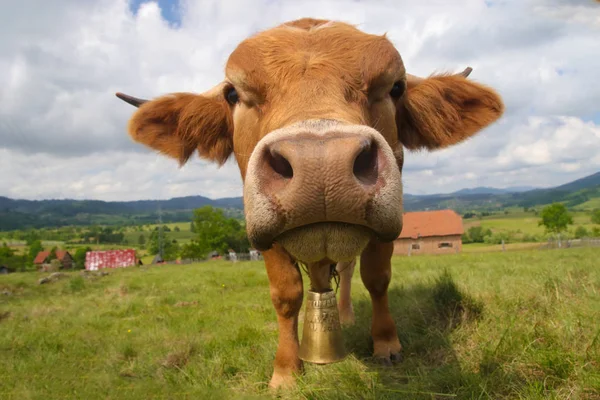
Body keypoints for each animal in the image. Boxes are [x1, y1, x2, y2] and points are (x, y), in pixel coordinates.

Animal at [115, 18, 504, 388]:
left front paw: (386, 344)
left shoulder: (387, 228)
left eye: (395, 87)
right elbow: (286, 296)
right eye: (232, 93)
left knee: (347, 272)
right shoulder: (265, 237)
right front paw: (286, 371)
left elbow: (377, 278)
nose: (321, 164)